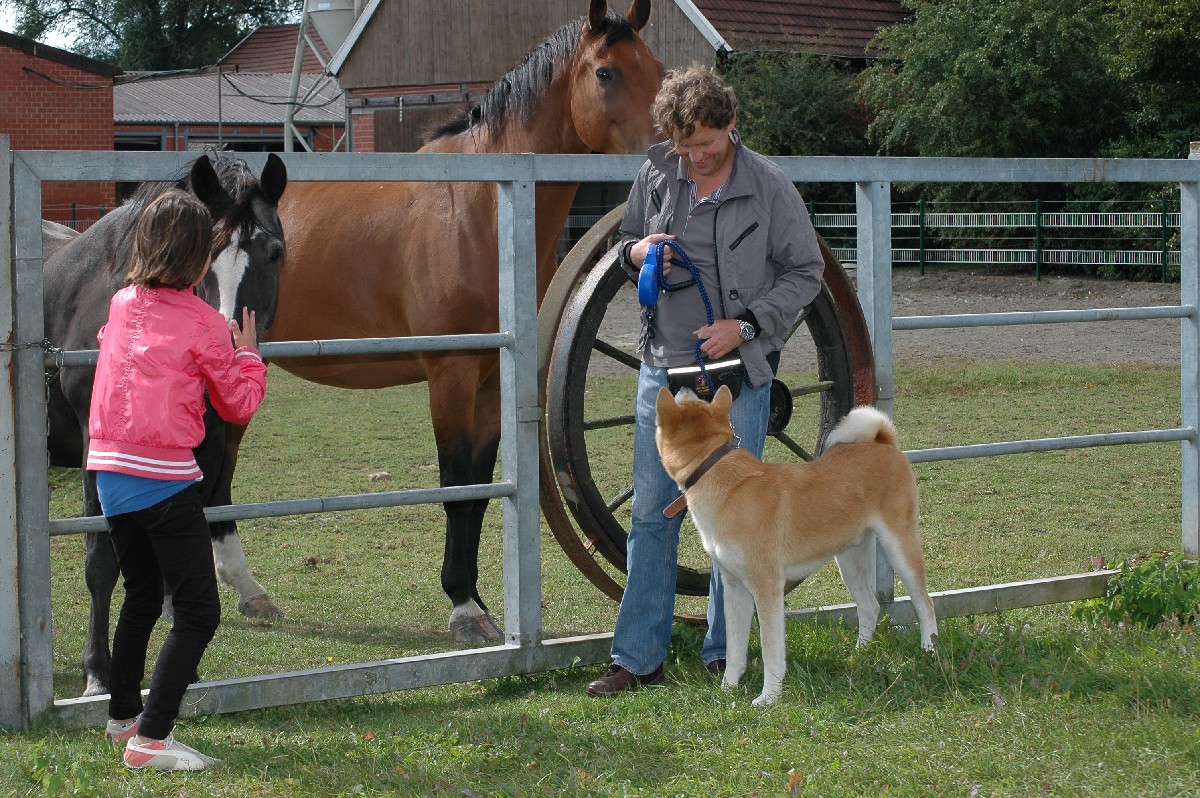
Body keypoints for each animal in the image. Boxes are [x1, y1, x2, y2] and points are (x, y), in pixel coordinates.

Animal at [262, 0, 662, 642]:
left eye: (657, 67)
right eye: (606, 72)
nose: (667, 152)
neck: (479, 204)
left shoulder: (492, 378)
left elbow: (477, 490)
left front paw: (473, 598)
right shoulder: (449, 372)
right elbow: (455, 485)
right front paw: (464, 610)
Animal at [655, 386, 937, 705]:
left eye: (690, 399)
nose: (684, 385)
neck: (719, 477)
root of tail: (883, 442)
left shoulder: (766, 587)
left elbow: (770, 650)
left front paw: (768, 697)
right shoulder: (735, 587)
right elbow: (735, 648)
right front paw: (728, 688)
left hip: (899, 548)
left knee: (925, 603)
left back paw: (929, 650)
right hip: (849, 561)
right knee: (870, 606)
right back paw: (859, 654)